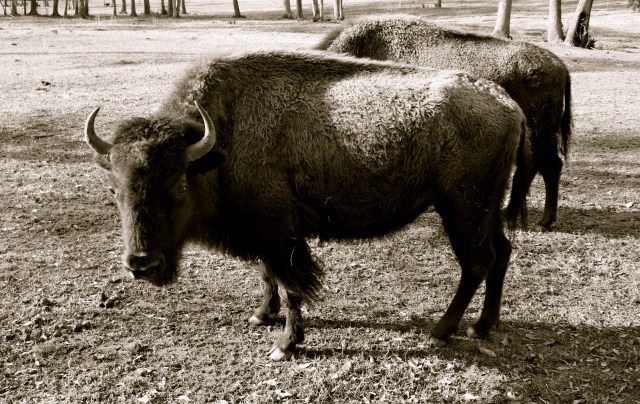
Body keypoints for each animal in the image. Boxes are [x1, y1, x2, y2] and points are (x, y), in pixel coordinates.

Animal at [85, 50, 527, 360]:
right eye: (113, 189)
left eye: (179, 185)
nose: (142, 263)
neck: (219, 142)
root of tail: (509, 105)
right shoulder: (264, 234)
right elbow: (267, 277)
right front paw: (261, 316)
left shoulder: (279, 234)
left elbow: (290, 285)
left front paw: (285, 345)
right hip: (486, 209)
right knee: (501, 253)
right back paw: (481, 327)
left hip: (462, 209)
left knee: (476, 262)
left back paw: (442, 331)